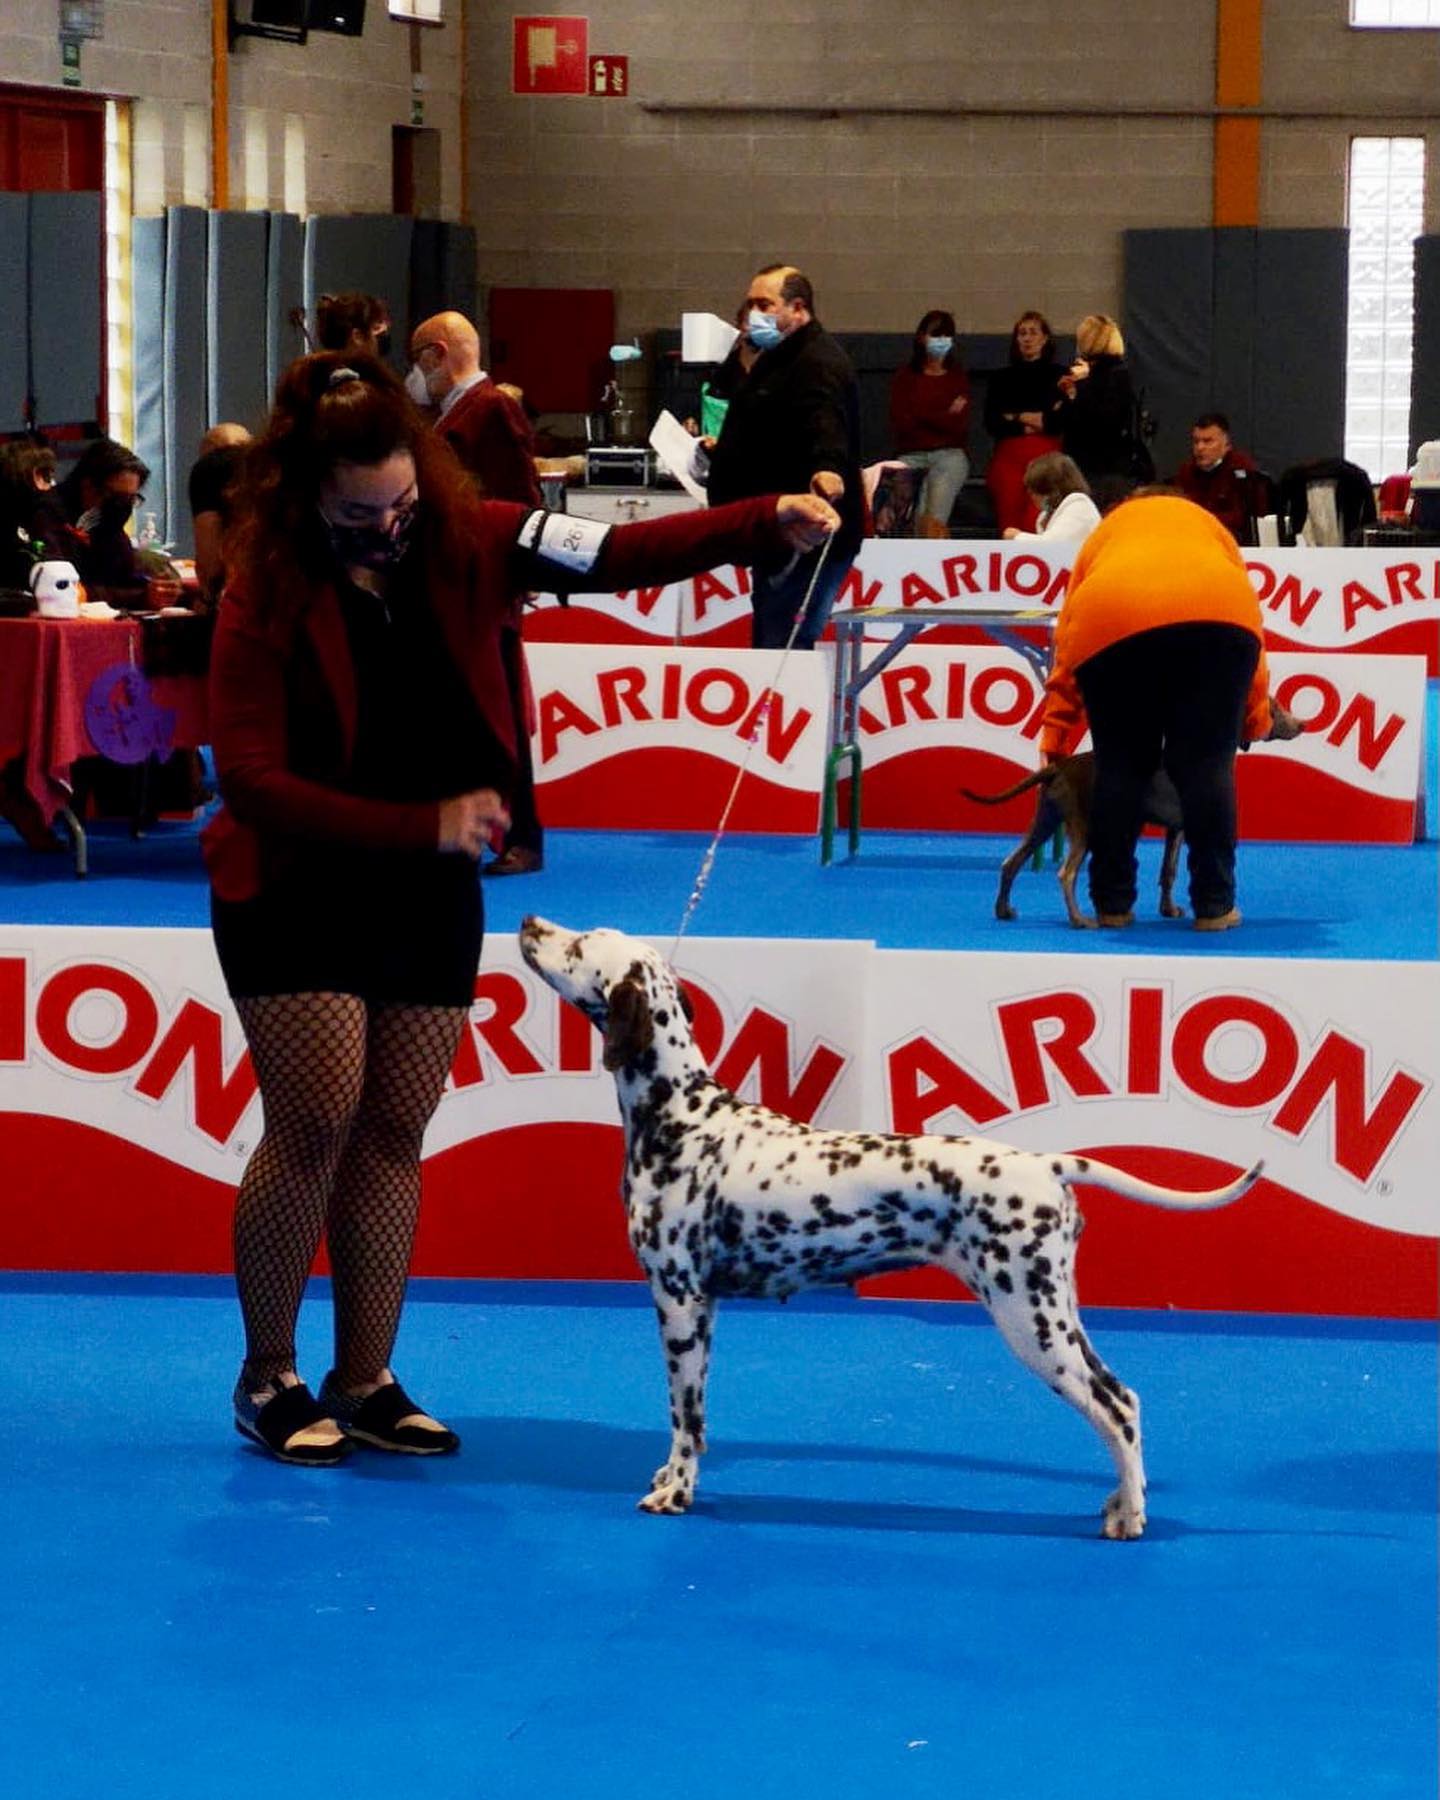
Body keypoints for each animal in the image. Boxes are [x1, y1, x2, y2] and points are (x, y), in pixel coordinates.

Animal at [519, 916, 1262, 1539]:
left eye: (579, 944)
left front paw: (675, 1492)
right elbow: (697, 1422)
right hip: (1054, 1314)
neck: (683, 1116)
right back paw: (1119, 1501)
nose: (529, 922)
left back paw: (1130, 1517)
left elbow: (684, 1417)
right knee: (1123, 1400)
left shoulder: (678, 1300)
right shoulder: (704, 1308)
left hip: (1030, 1321)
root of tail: (1046, 1164)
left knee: (1114, 1407)